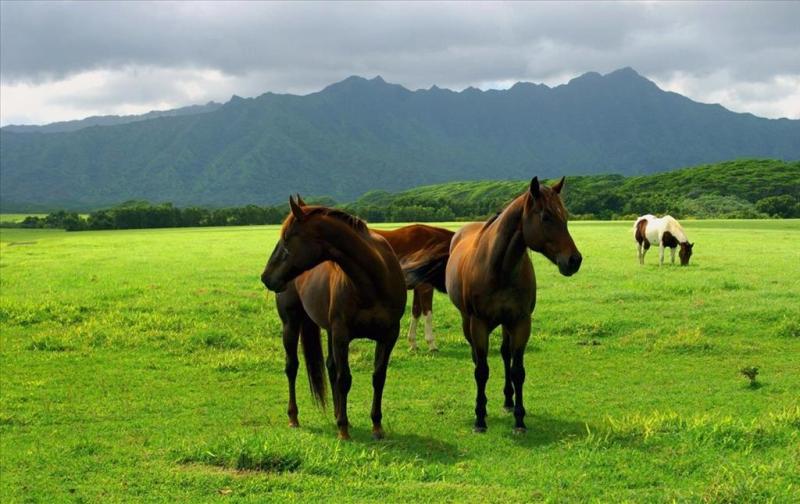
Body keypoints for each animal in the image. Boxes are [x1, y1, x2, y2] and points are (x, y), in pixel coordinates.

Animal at [260, 195, 406, 440]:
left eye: (287, 238)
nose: (266, 277)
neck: (374, 281)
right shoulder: (341, 334)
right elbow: (344, 378)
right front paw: (343, 430)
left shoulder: (388, 335)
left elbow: (378, 377)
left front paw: (376, 426)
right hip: (291, 324)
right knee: (292, 367)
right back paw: (294, 417)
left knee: (329, 366)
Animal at [410, 176, 580, 434]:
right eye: (546, 217)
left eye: (566, 216)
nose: (574, 260)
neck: (499, 268)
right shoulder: (479, 324)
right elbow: (481, 371)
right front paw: (480, 418)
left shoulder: (520, 322)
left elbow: (517, 370)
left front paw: (519, 419)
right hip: (468, 322)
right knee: (477, 358)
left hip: (505, 324)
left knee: (504, 354)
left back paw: (508, 401)